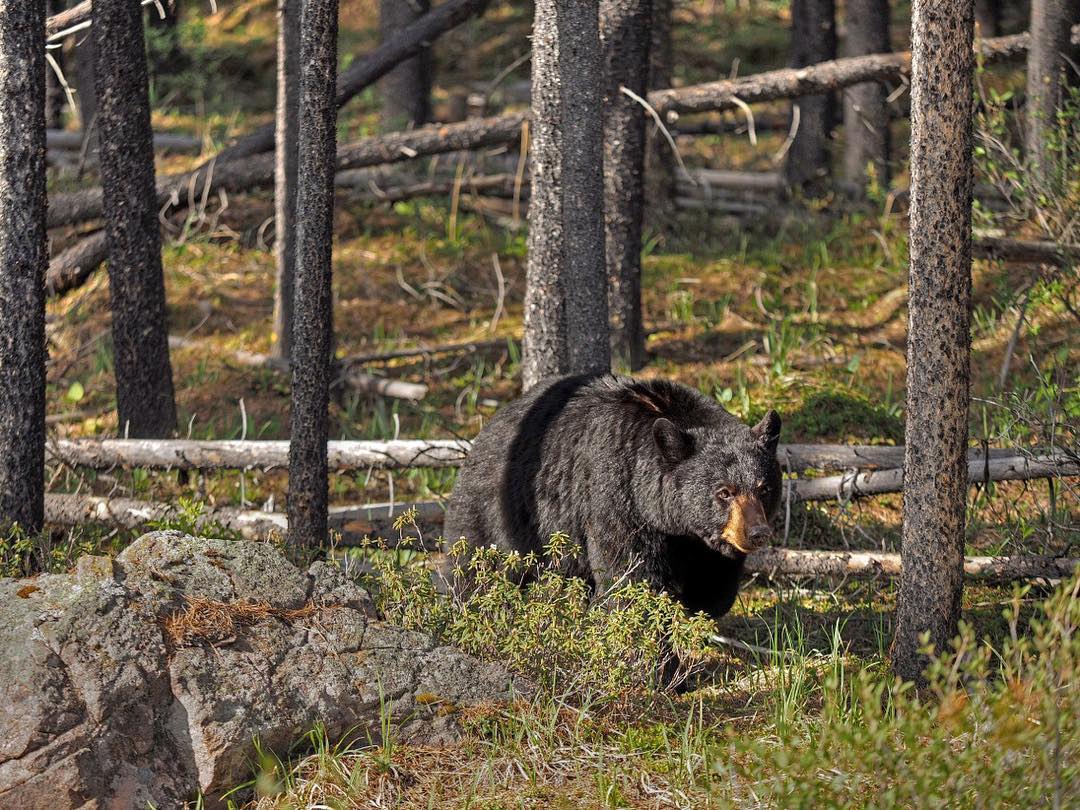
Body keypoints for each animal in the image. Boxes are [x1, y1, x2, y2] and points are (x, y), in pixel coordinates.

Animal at [442, 375, 781, 622]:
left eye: (764, 489)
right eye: (724, 491)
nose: (757, 533)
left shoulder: (692, 538)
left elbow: (712, 583)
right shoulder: (616, 497)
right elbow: (628, 578)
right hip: (497, 510)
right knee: (471, 564)